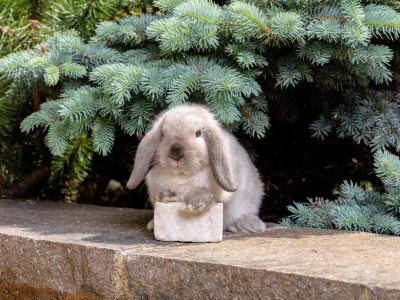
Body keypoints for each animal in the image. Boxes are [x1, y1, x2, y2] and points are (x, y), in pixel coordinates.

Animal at [127, 104, 266, 233]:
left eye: (198, 133)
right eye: (163, 134)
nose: (176, 153)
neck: (182, 176)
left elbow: (207, 194)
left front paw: (195, 204)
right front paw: (166, 195)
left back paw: (248, 225)